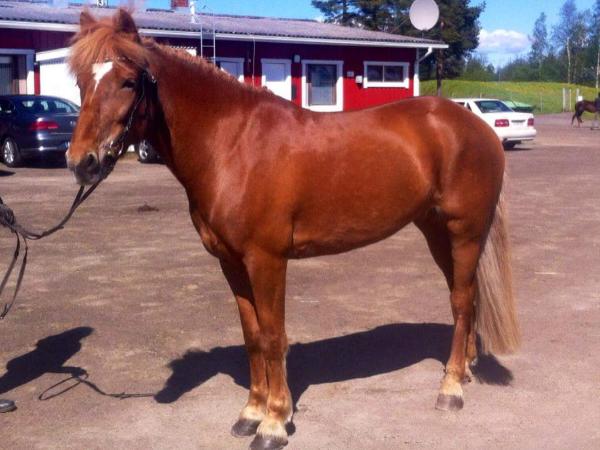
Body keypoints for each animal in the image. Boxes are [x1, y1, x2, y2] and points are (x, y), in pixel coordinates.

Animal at [66, 9, 519, 450]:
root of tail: (475, 124)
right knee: (467, 296)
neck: (233, 144)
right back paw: (464, 369)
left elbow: (272, 336)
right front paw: (250, 413)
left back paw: (451, 389)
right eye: (81, 81)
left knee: (460, 301)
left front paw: (274, 423)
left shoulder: (266, 260)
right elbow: (251, 335)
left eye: (127, 81)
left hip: (464, 232)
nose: (81, 162)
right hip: (436, 232)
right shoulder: (231, 262)